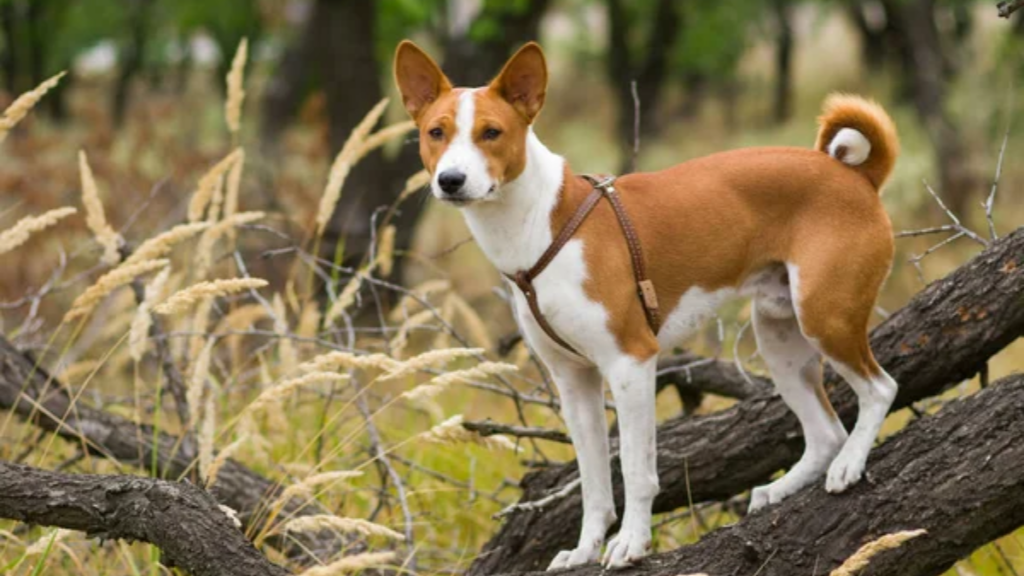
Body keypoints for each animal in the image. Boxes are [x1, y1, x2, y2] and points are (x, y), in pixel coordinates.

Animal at [391, 41, 897, 569]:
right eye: (435, 132)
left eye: (491, 132)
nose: (451, 180)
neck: (541, 227)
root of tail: (857, 175)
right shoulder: (574, 381)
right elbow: (593, 483)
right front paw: (584, 549)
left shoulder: (631, 361)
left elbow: (636, 471)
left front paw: (631, 543)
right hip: (780, 337)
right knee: (825, 432)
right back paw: (781, 489)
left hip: (826, 317)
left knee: (880, 389)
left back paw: (850, 464)